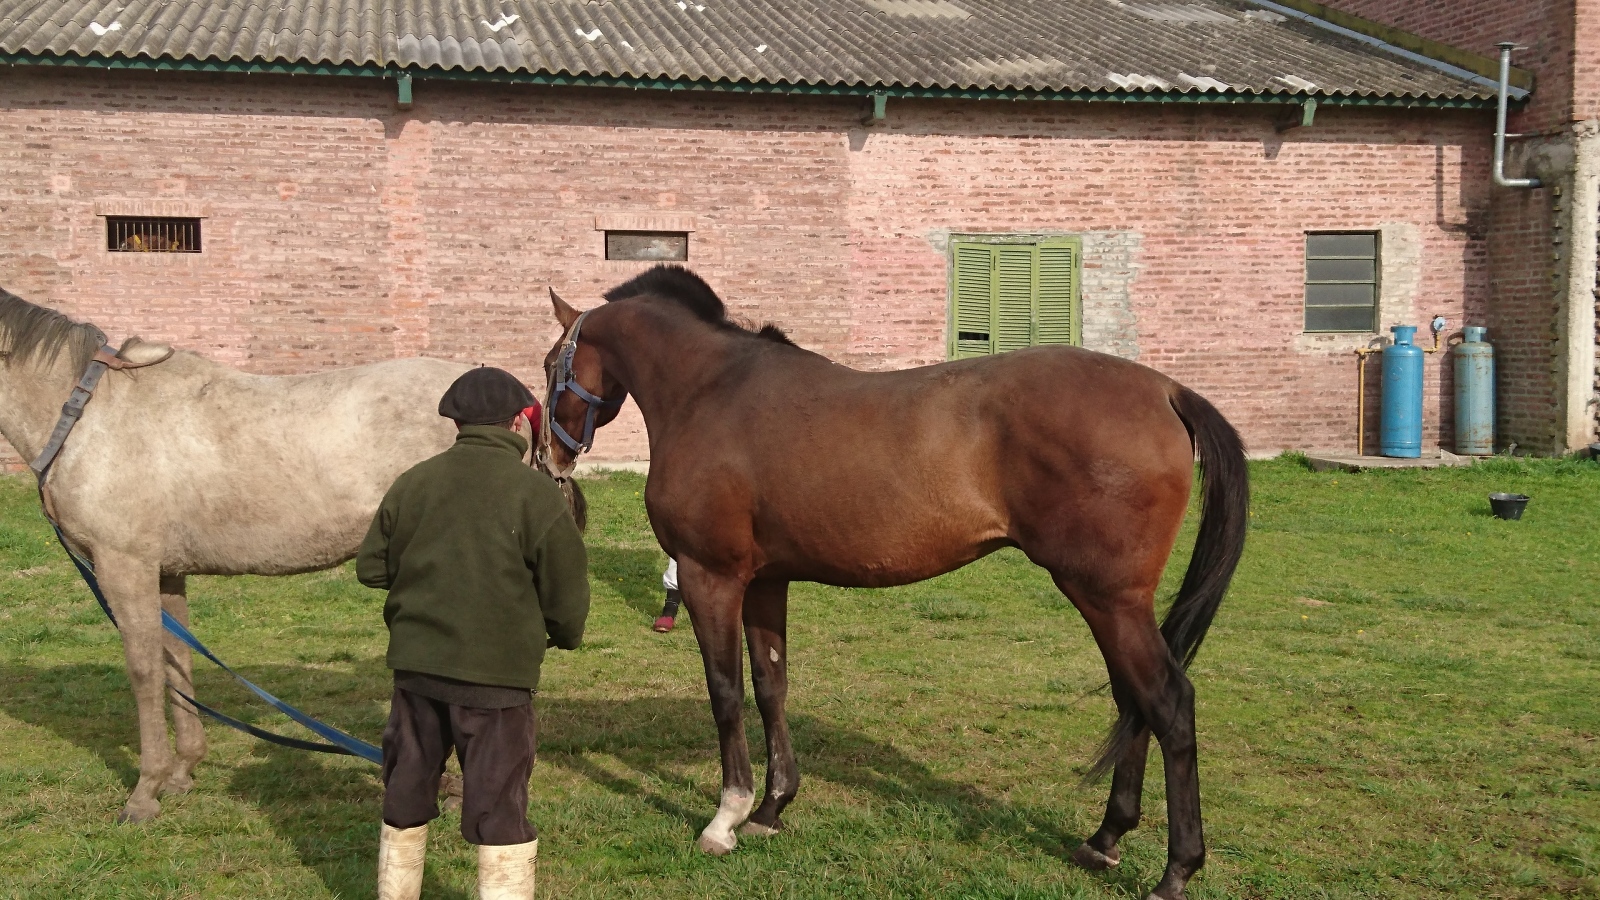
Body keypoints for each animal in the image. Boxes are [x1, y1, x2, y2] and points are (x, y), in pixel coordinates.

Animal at [0, 291, 470, 826]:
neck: (88, 416)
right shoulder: (166, 572)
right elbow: (175, 663)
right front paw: (182, 772)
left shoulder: (124, 566)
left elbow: (143, 671)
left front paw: (144, 794)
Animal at [537, 262, 1248, 890]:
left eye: (549, 367)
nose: (552, 458)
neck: (712, 390)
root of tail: (1164, 390)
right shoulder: (766, 582)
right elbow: (771, 686)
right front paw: (771, 809)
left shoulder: (710, 576)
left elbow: (726, 692)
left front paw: (727, 817)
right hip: (1111, 604)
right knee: (1134, 704)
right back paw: (1105, 839)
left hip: (1108, 599)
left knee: (1167, 704)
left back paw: (1176, 870)